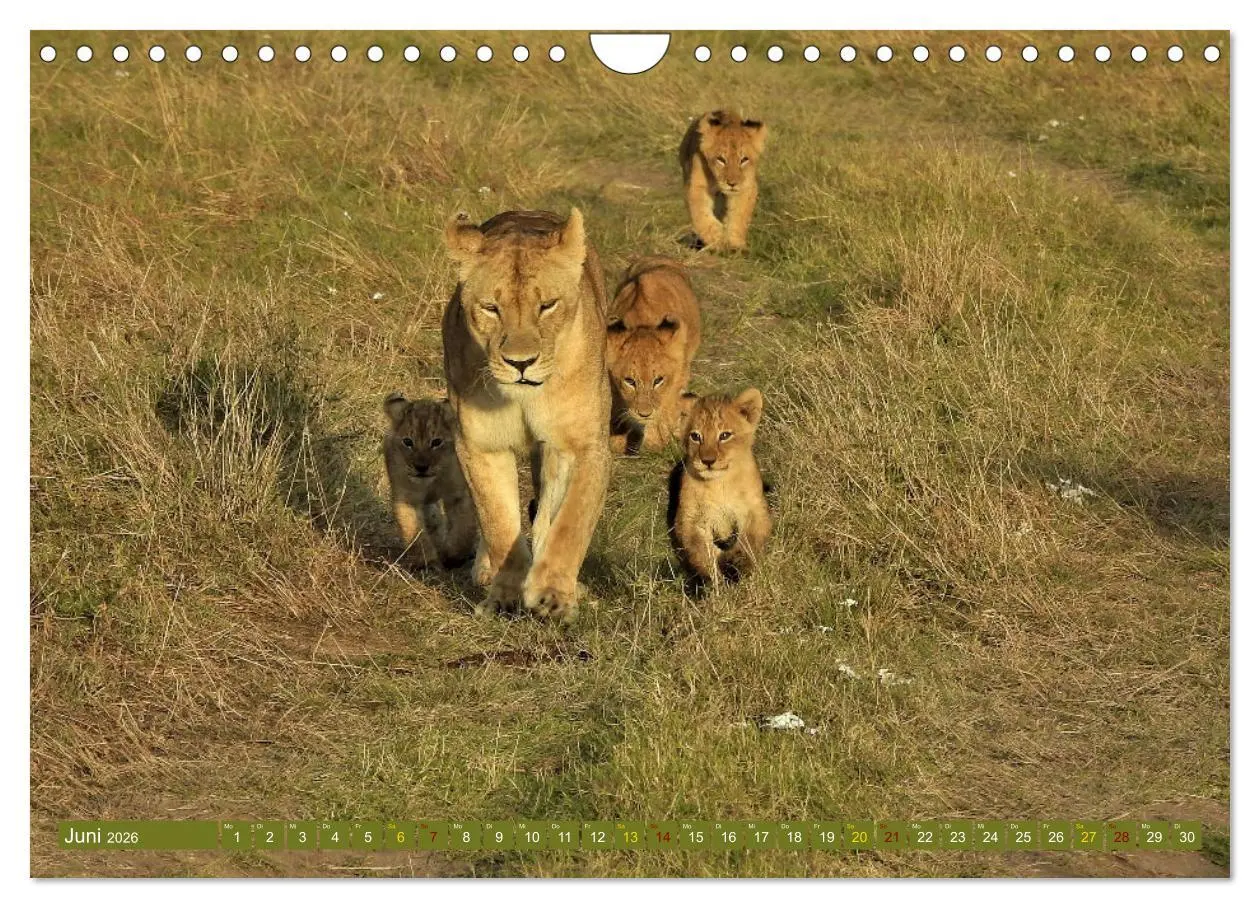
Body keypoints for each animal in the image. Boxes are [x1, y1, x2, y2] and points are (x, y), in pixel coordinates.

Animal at [383, 392, 478, 568]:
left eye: (436, 442)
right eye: (408, 442)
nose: (421, 467)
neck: (430, 483)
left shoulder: (458, 494)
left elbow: (464, 526)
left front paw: (454, 556)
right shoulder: (406, 498)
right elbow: (412, 529)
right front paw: (426, 561)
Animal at [442, 208, 612, 623]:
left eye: (547, 305)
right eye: (491, 308)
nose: (521, 363)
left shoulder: (587, 445)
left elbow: (571, 522)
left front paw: (552, 594)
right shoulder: (479, 445)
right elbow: (498, 520)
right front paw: (503, 595)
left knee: (549, 508)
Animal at [606, 257, 702, 454]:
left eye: (658, 380)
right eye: (630, 381)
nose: (644, 414)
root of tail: (660, 257)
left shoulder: (678, 374)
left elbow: (665, 409)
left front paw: (655, 443)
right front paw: (617, 440)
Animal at [668, 388, 772, 585]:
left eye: (724, 435)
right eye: (695, 436)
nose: (708, 461)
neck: (719, 483)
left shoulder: (755, 509)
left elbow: (750, 540)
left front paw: (737, 563)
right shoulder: (689, 519)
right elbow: (701, 551)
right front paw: (715, 580)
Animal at [678, 110, 768, 252]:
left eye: (744, 160)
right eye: (721, 159)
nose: (732, 183)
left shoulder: (746, 188)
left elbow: (739, 216)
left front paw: (735, 245)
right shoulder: (697, 186)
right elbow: (702, 216)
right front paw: (718, 240)